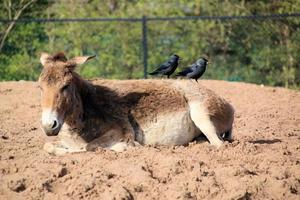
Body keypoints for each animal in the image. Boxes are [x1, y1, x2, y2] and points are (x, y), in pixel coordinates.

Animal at [38, 52, 234, 155]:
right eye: (39, 87)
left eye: (65, 86)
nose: (49, 125)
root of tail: (230, 106)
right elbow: (48, 146)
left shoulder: (120, 131)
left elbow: (88, 147)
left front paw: (127, 147)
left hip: (201, 114)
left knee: (219, 144)